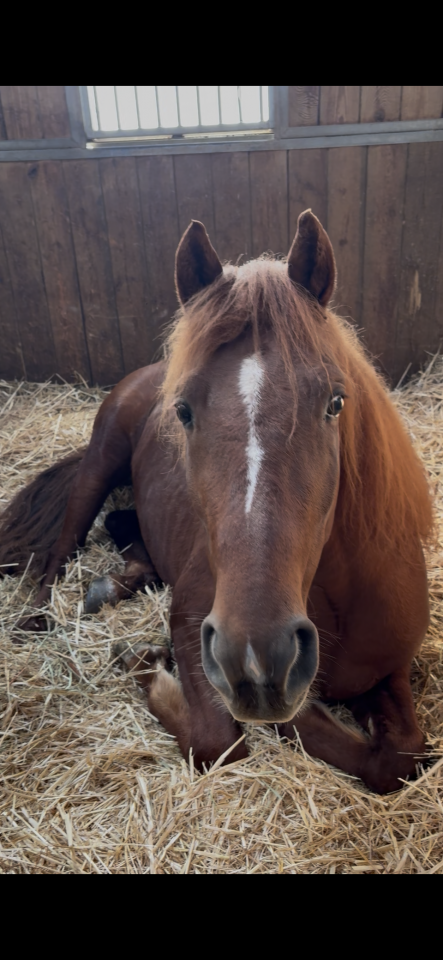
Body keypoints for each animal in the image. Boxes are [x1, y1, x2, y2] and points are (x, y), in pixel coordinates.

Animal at [0, 211, 433, 794]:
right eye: (182, 411)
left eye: (335, 403)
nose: (256, 658)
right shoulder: (192, 621)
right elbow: (220, 742)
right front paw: (145, 667)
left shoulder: (391, 670)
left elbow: (401, 756)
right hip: (99, 463)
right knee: (61, 550)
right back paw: (42, 617)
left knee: (123, 527)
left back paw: (113, 584)